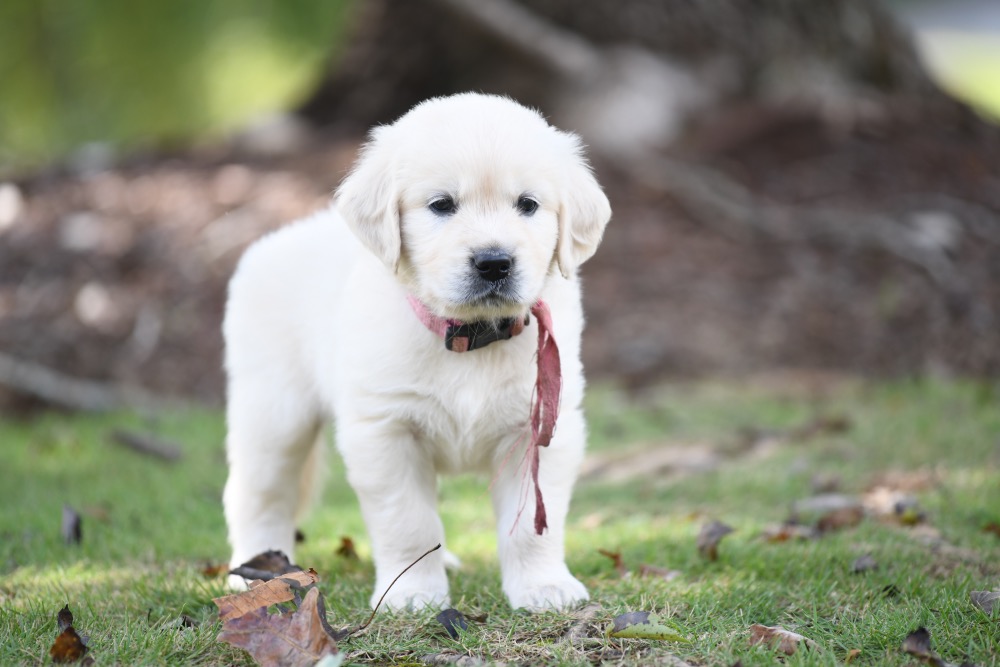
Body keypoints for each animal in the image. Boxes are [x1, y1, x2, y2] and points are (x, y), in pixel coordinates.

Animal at [224, 92, 612, 612]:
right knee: (257, 495)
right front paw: (411, 594)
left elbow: (532, 525)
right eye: (441, 205)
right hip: (273, 413)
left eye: (528, 204)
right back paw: (255, 573)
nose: (494, 263)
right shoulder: (385, 430)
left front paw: (543, 586)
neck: (468, 335)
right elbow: (408, 521)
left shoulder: (539, 429)